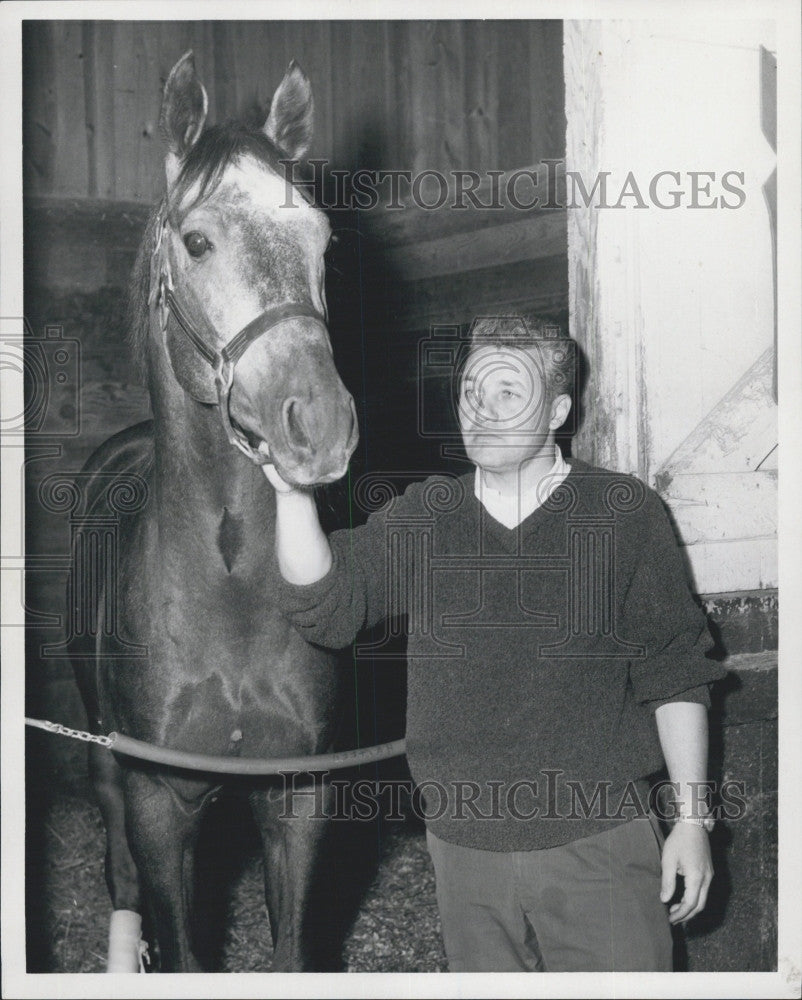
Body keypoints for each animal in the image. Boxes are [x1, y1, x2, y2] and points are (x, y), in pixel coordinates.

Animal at [69, 50, 356, 972]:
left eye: (322, 241)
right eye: (197, 241)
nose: (320, 424)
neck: (226, 595)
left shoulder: (299, 798)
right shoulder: (160, 805)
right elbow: (183, 942)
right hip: (106, 769)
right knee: (121, 876)